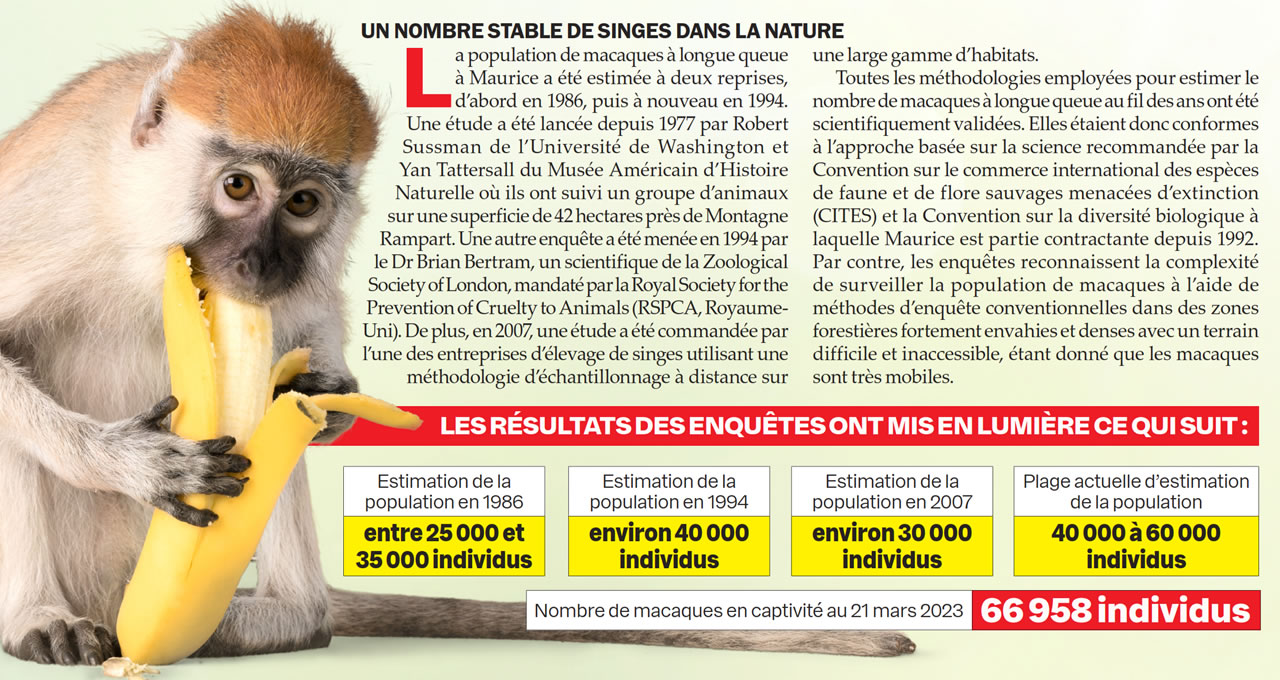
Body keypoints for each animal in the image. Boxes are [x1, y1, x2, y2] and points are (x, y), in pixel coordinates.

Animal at [0, 8, 913, 665]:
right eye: (237, 186)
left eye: (303, 204)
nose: (259, 262)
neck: (140, 225)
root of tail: (111, 592)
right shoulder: (61, 200)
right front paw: (133, 461)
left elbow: (308, 328)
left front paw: (331, 397)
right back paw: (43, 617)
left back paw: (288, 620)